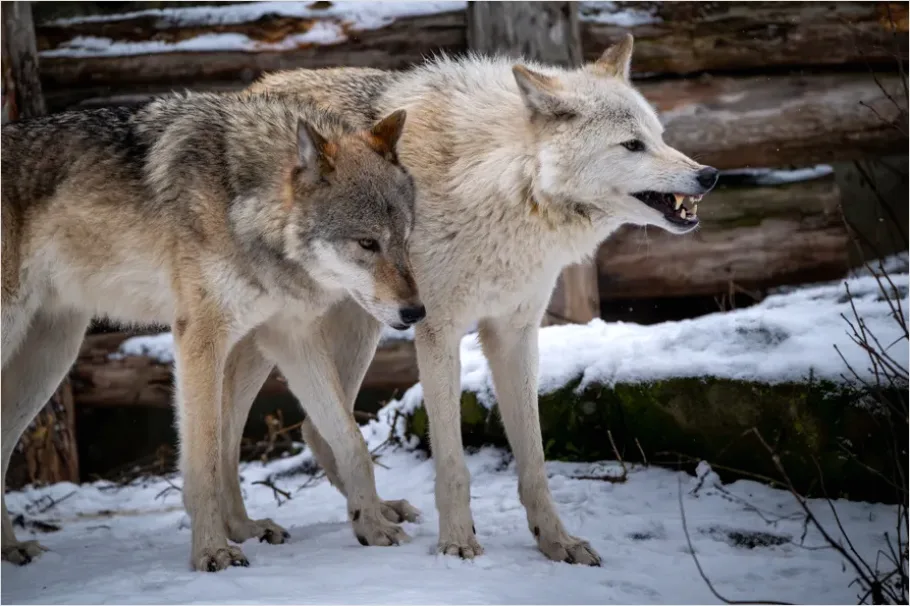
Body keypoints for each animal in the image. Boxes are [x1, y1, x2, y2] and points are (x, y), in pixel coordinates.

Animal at [1, 92, 424, 571]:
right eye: (367, 244)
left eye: (404, 240)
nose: (416, 311)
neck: (241, 204)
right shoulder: (200, 337)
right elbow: (204, 459)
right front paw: (211, 552)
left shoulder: (289, 336)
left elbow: (350, 440)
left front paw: (370, 524)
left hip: (53, 356)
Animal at [243, 34, 719, 566]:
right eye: (632, 145)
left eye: (659, 136)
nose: (709, 175)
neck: (505, 183)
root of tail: (252, 88)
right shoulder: (438, 331)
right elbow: (452, 461)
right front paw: (457, 544)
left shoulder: (515, 334)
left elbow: (534, 461)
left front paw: (557, 542)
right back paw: (241, 533)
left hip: (362, 327)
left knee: (315, 428)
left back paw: (375, 514)